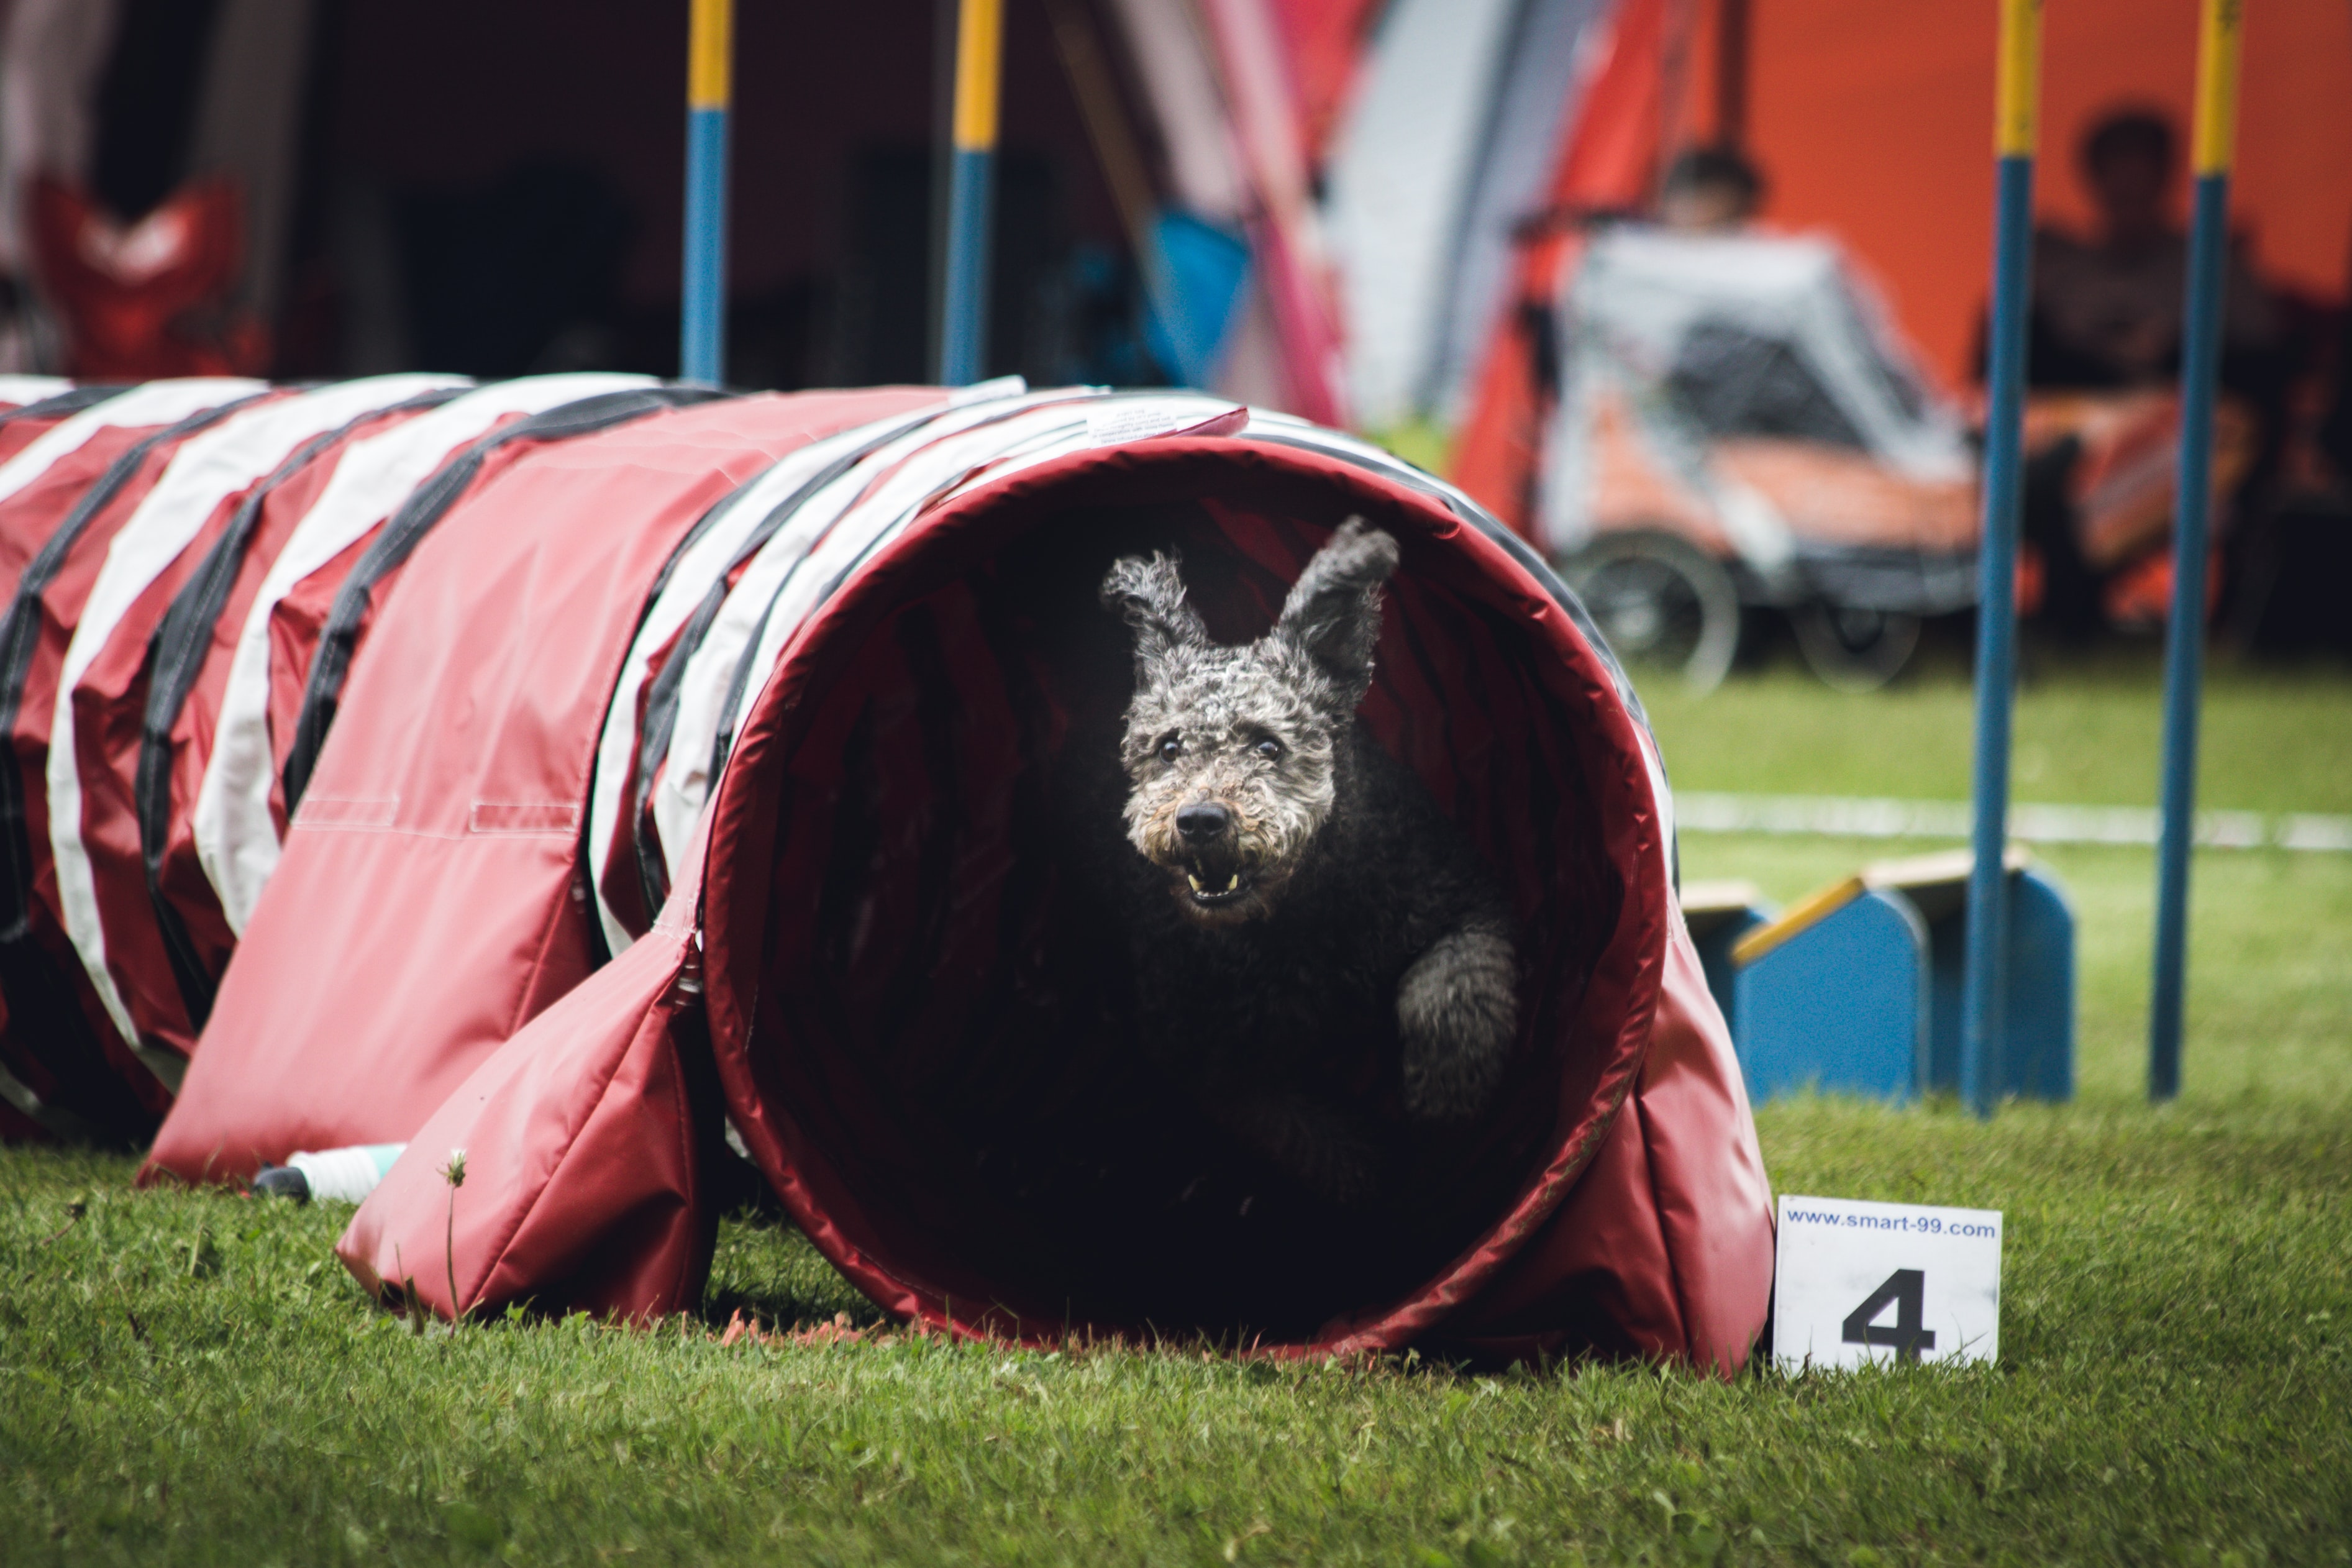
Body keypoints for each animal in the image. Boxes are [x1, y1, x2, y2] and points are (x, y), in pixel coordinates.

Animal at [1096, 514, 1515, 1203]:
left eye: (1269, 745)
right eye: (1169, 747)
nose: (1201, 820)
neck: (1296, 917)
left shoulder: (1465, 900)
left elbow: (1447, 991)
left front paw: (1446, 1098)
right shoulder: (1201, 1048)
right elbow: (1293, 1126)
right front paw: (1371, 1165)